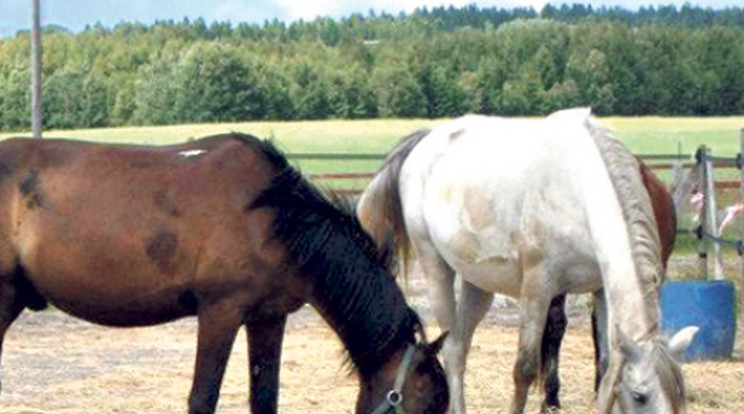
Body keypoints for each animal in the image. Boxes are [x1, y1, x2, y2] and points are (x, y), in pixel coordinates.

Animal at [0, 134, 448, 412]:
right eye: (426, 406)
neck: (272, 216)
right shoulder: (220, 312)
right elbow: (203, 398)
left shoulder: (269, 318)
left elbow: (264, 398)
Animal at [358, 109, 696, 414]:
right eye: (640, 396)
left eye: (678, 397)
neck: (578, 189)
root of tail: (426, 141)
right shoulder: (538, 287)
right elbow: (524, 368)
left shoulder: (601, 289)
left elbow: (606, 365)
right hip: (435, 267)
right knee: (451, 348)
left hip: (479, 284)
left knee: (459, 348)